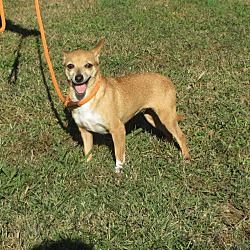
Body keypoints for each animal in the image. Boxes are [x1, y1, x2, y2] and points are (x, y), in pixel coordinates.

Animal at [62, 38, 189, 172]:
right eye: (70, 66)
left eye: (88, 65)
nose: (79, 78)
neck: (88, 98)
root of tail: (168, 80)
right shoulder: (85, 132)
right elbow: (88, 152)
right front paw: (87, 166)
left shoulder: (118, 130)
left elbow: (119, 154)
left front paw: (118, 171)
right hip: (153, 118)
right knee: (168, 134)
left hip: (167, 118)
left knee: (181, 136)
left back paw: (186, 159)